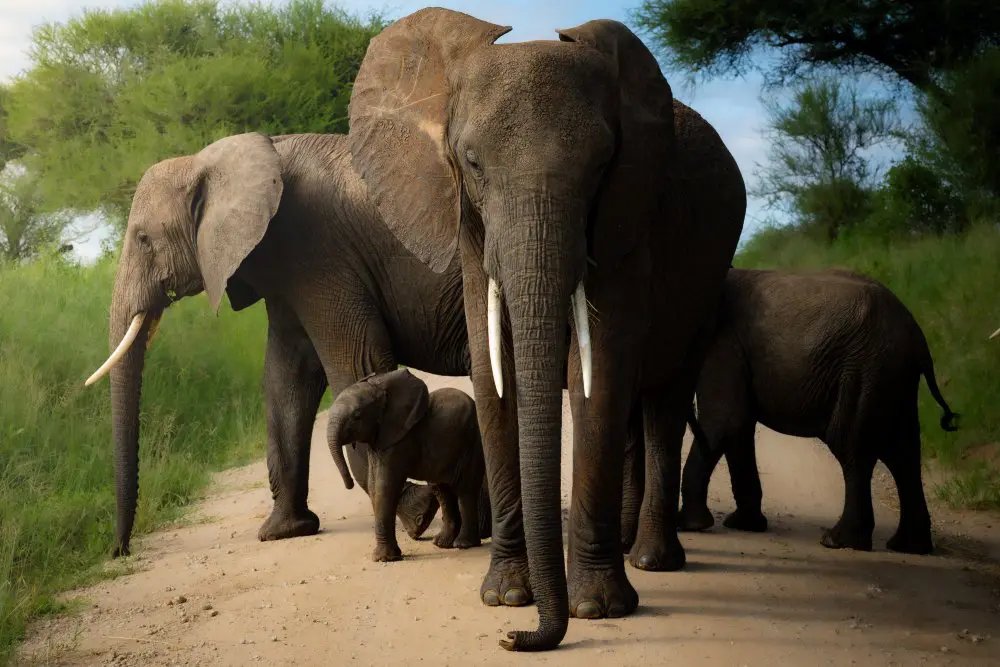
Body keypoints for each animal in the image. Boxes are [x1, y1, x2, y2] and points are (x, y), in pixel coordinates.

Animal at [326, 368, 486, 561]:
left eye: (357, 416)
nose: (348, 484)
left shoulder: (400, 440)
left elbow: (384, 486)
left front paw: (385, 559)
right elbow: (373, 485)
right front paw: (385, 557)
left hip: (472, 442)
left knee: (465, 490)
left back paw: (463, 544)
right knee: (442, 490)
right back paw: (441, 543)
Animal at [346, 8, 745, 650]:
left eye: (601, 163)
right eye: (472, 161)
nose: (517, 639)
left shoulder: (626, 213)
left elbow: (599, 371)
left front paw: (598, 608)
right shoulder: (468, 225)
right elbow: (494, 371)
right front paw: (506, 597)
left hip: (708, 278)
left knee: (663, 403)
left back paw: (652, 560)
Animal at [677, 267, 958, 555]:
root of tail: (918, 337)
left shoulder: (721, 345)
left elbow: (725, 420)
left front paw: (690, 526)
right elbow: (738, 427)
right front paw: (745, 525)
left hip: (865, 371)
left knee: (852, 447)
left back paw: (839, 541)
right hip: (894, 379)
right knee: (903, 453)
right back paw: (909, 547)